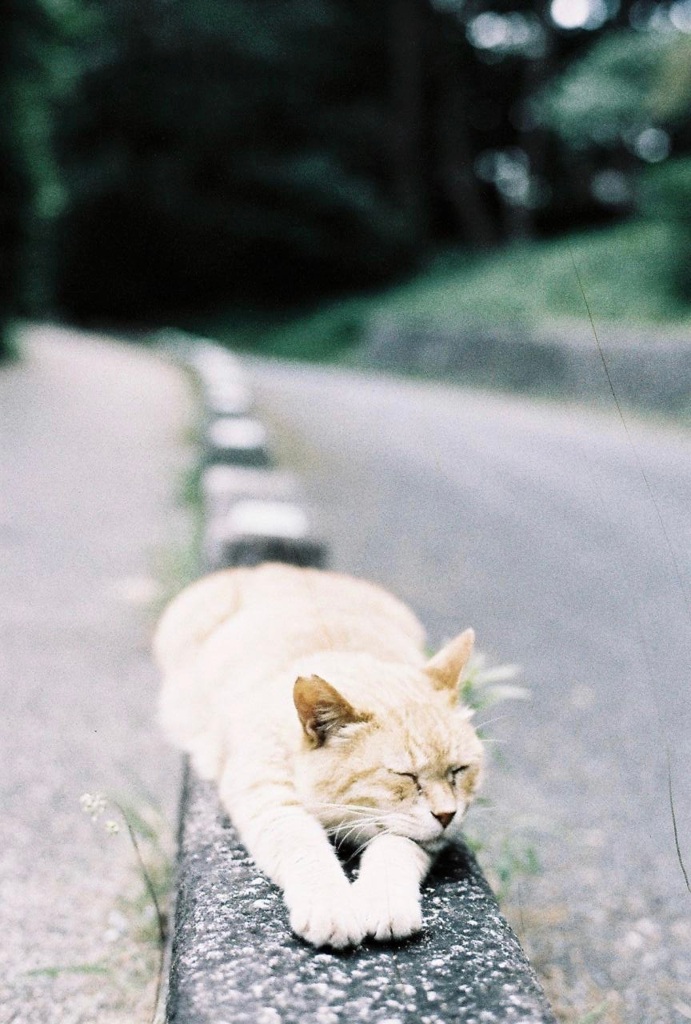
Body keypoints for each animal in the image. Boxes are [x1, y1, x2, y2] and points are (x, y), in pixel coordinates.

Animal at [154, 565, 483, 946]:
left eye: (458, 771)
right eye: (406, 776)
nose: (447, 815)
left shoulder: (415, 837)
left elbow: (394, 849)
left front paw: (385, 902)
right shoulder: (272, 803)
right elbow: (306, 849)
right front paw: (332, 908)